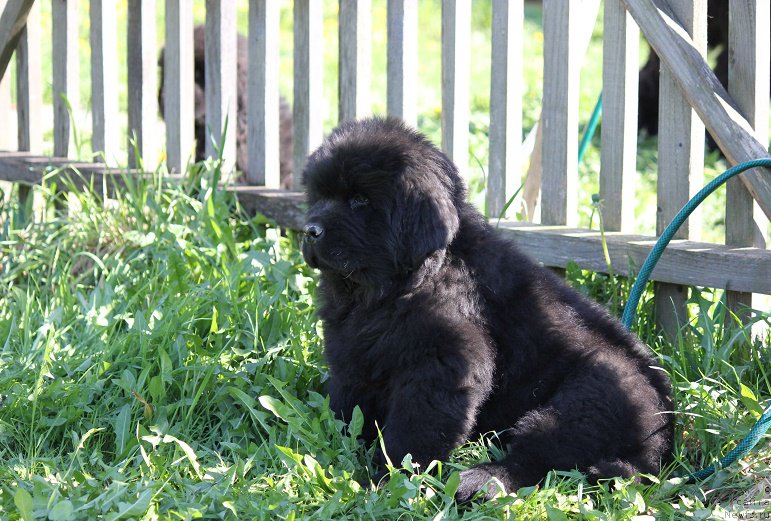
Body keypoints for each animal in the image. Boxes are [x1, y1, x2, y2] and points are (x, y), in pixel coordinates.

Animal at [298, 118, 672, 500]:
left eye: (359, 200)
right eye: (320, 196)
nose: (309, 230)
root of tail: (657, 447)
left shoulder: (444, 362)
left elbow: (413, 429)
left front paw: (387, 479)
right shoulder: (353, 350)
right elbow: (348, 400)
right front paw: (340, 442)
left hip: (589, 394)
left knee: (534, 459)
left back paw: (477, 481)